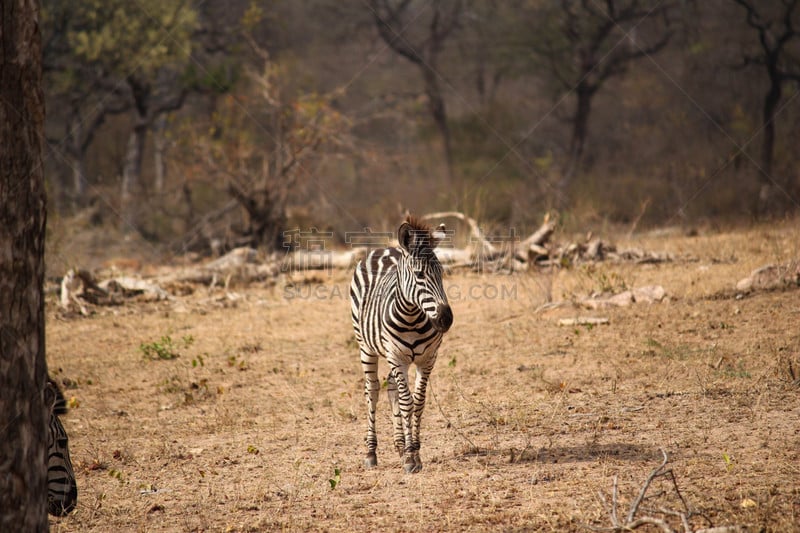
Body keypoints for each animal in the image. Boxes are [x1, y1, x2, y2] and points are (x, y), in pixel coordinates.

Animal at [348, 214, 454, 472]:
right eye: (419, 275)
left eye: (442, 273)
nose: (446, 319)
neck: (412, 318)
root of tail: (384, 248)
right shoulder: (397, 358)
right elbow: (407, 403)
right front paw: (410, 457)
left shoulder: (427, 360)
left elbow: (418, 402)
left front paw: (413, 450)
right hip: (366, 347)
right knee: (373, 389)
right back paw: (371, 452)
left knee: (391, 386)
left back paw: (398, 443)